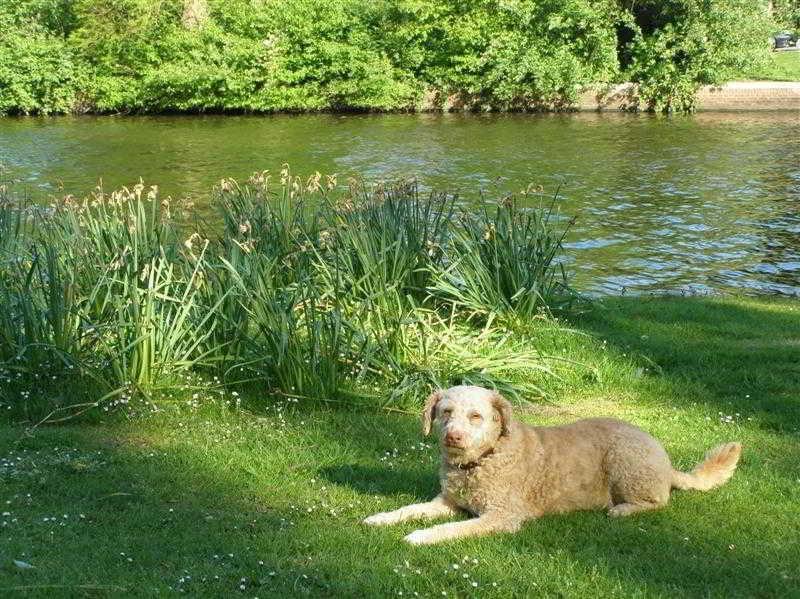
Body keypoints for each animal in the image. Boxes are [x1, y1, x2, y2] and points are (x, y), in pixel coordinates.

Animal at [366, 386, 740, 548]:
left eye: (475, 416)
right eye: (445, 412)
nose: (453, 437)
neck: (482, 459)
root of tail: (665, 460)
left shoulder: (501, 516)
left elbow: (453, 529)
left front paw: (422, 536)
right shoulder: (447, 502)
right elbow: (409, 509)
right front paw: (381, 518)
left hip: (626, 462)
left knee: (658, 501)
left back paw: (623, 510)